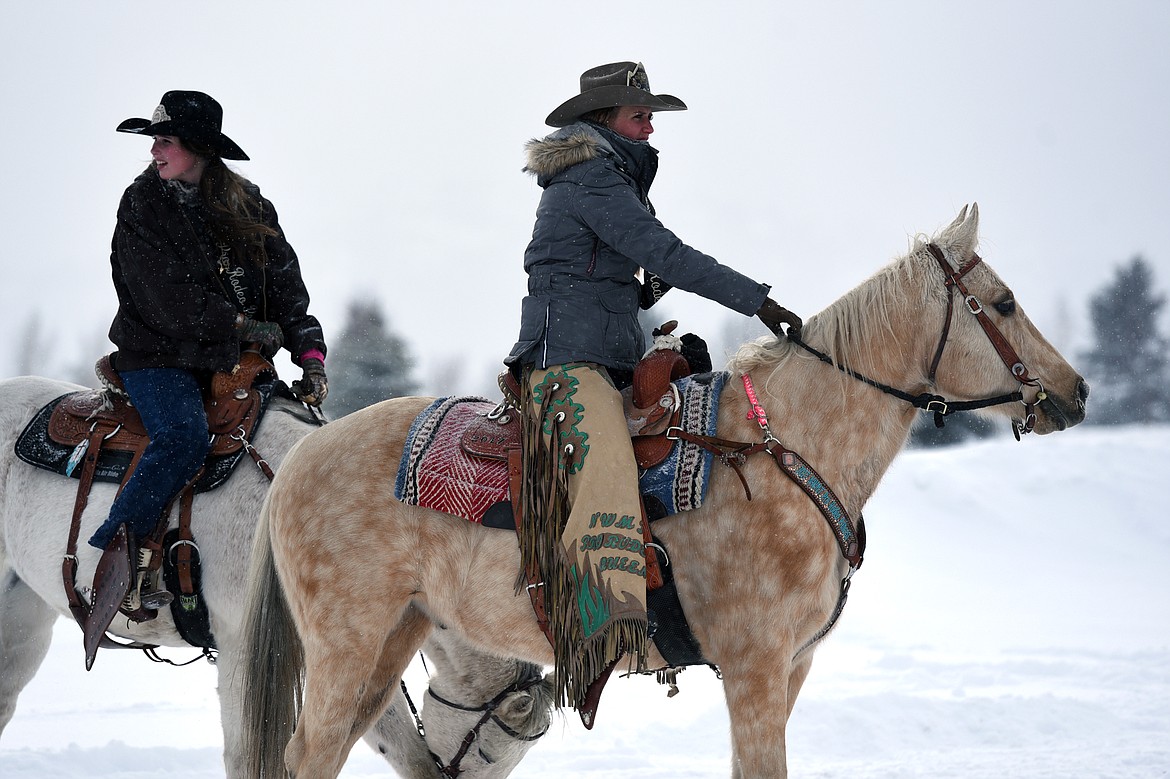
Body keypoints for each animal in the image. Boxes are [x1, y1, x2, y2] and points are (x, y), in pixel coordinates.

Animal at [235, 203, 1085, 771]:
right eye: (1004, 303)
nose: (1075, 392)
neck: (783, 448)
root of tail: (302, 458)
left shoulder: (792, 668)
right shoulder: (754, 668)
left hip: (392, 640)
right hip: (346, 646)